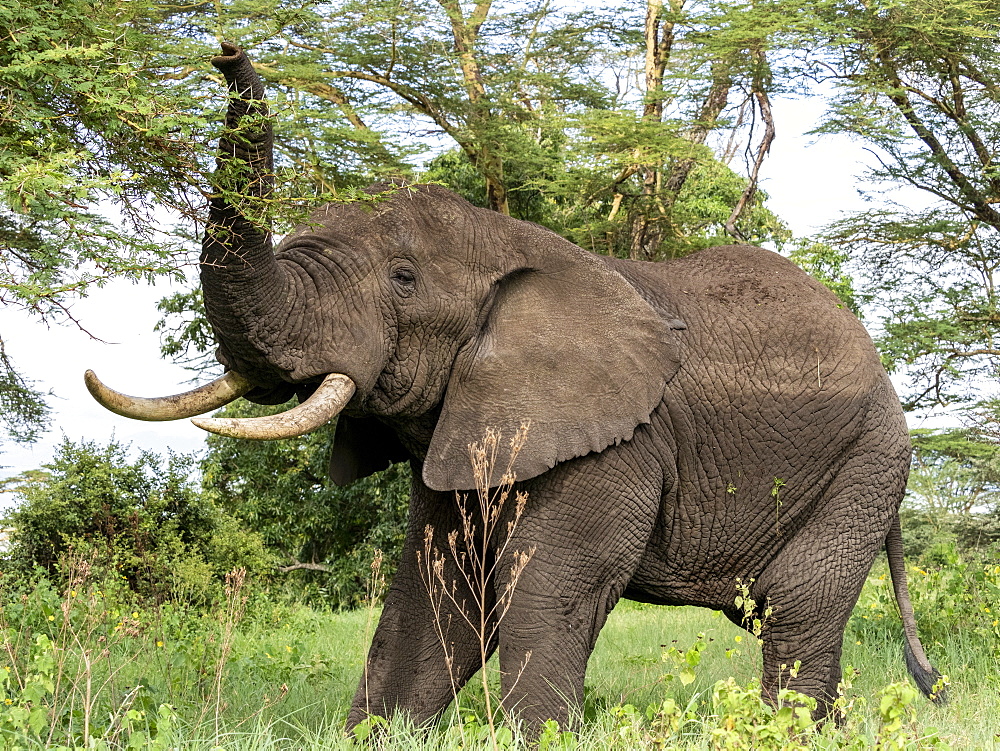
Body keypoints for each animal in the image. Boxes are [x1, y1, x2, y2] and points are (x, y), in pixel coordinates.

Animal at [88, 45, 944, 728]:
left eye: (403, 279)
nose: (225, 49)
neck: (511, 241)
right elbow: (435, 597)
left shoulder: (609, 445)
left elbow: (546, 595)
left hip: (867, 461)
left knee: (796, 613)